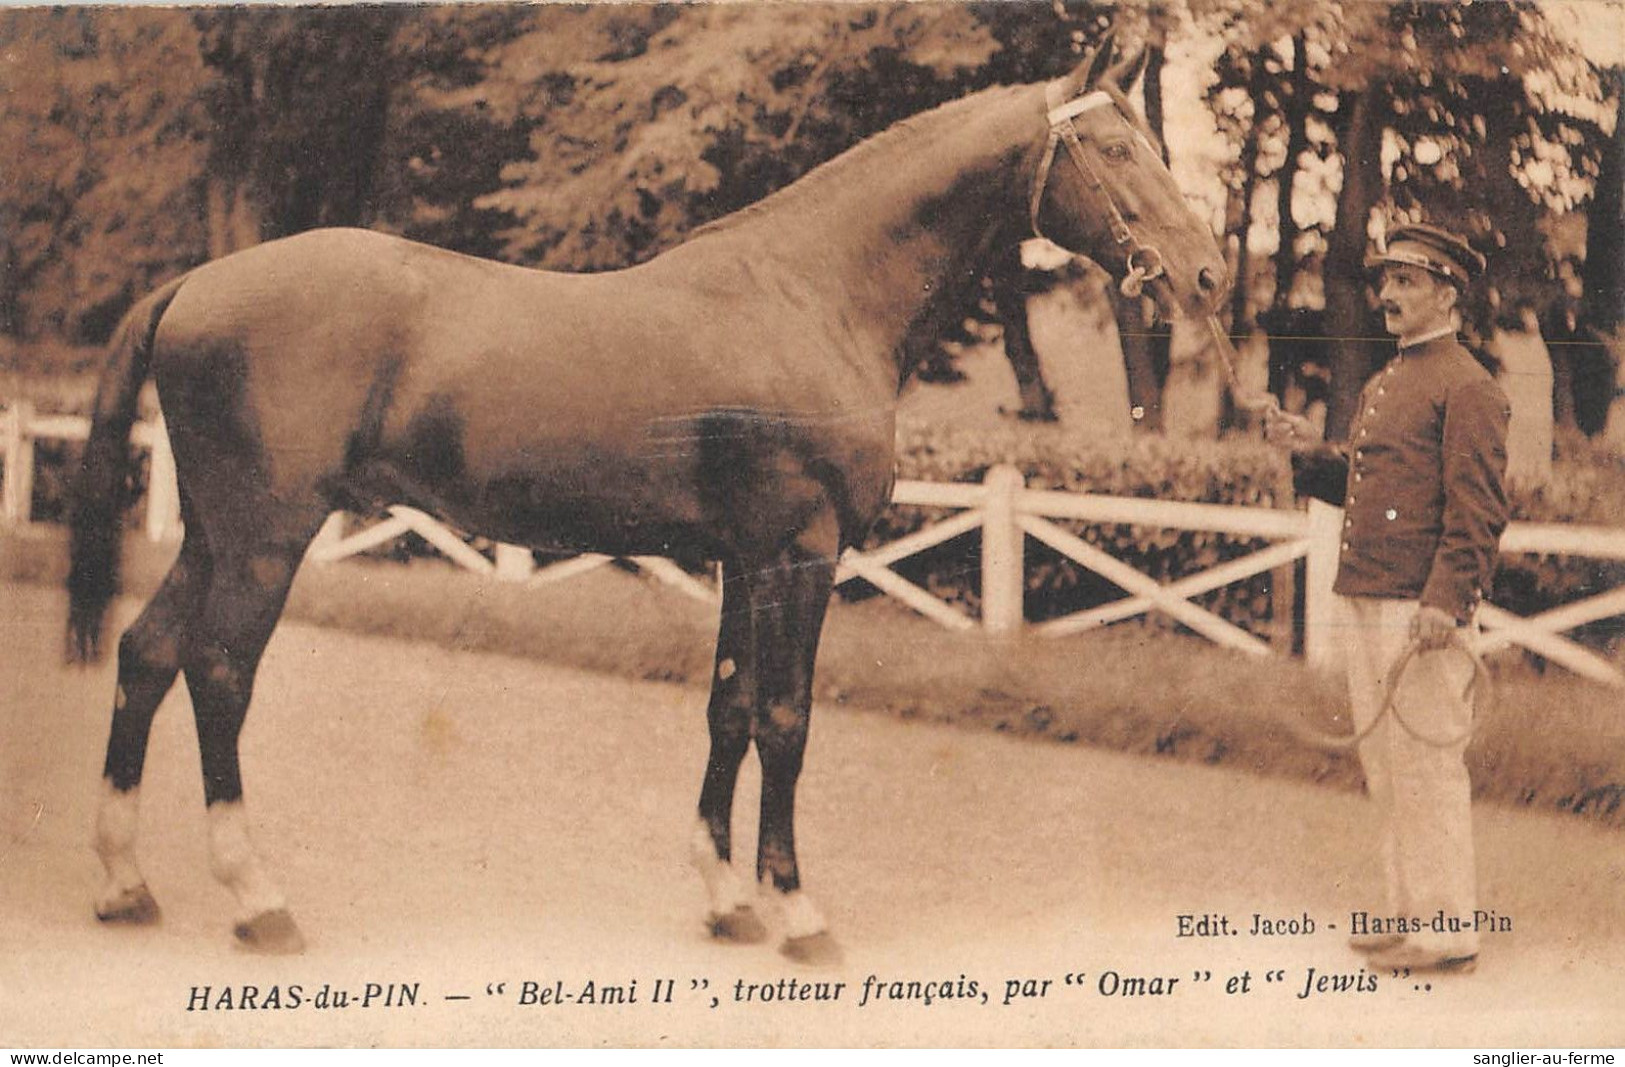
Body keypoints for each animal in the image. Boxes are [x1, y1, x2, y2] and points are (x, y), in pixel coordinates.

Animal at [69, 41, 1222, 961]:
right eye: (1115, 149)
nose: (1208, 275)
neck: (810, 295)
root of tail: (196, 283)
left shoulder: (741, 556)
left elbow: (727, 709)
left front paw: (726, 899)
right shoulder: (800, 554)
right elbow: (786, 719)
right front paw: (796, 911)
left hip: (214, 533)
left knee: (145, 653)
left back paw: (126, 882)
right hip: (265, 536)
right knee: (218, 673)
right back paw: (256, 898)